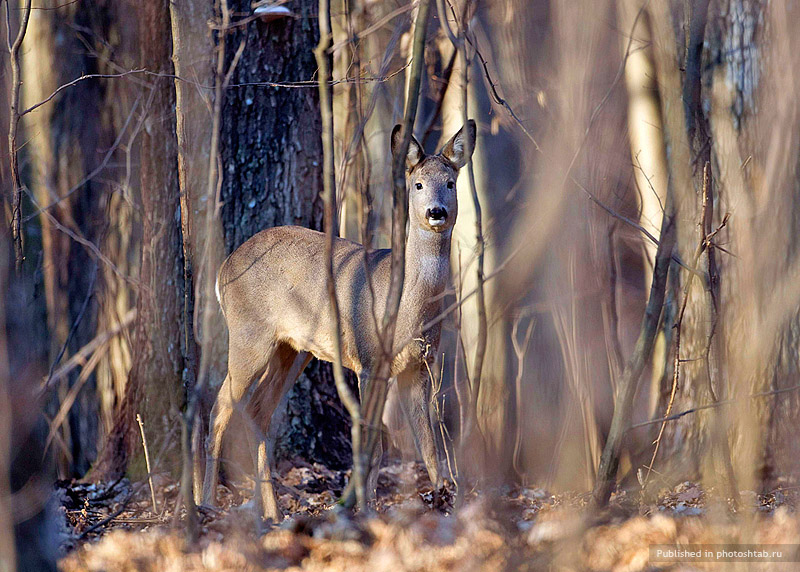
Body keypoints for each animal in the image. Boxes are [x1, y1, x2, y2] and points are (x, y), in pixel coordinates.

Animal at [202, 118, 476, 520]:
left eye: (451, 183)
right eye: (418, 184)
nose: (436, 212)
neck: (406, 307)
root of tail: (223, 268)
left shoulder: (418, 365)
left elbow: (428, 446)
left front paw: (443, 501)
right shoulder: (368, 358)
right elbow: (373, 444)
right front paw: (363, 509)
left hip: (292, 349)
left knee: (257, 410)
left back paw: (273, 512)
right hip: (248, 334)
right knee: (220, 408)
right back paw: (206, 502)